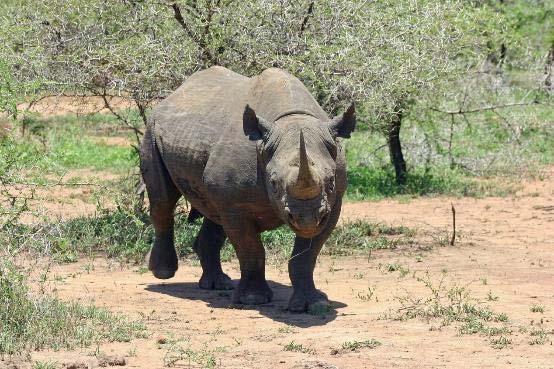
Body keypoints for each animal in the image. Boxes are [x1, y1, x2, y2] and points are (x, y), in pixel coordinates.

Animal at [138, 65, 354, 310]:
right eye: (273, 184)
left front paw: (314, 304)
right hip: (152, 129)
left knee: (212, 212)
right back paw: (163, 273)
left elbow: (306, 256)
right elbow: (250, 249)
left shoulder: (332, 204)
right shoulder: (236, 205)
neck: (292, 120)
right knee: (163, 201)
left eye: (331, 181)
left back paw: (218, 285)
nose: (306, 218)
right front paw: (253, 300)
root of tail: (174, 94)